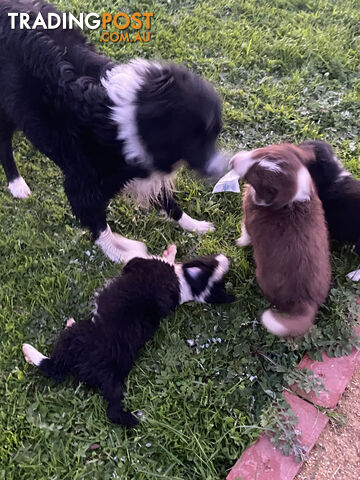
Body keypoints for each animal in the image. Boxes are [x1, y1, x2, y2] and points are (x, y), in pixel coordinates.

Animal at [0, 0, 225, 262]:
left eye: (213, 136)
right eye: (195, 139)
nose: (222, 168)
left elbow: (169, 203)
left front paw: (195, 226)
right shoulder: (81, 185)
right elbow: (101, 230)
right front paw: (123, 254)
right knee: (4, 145)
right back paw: (17, 184)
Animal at [23, 246, 235, 426]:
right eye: (211, 262)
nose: (227, 258)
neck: (186, 285)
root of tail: (108, 373)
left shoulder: (140, 263)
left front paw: (169, 251)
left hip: (72, 340)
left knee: (52, 366)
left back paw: (32, 349)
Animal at [232, 143, 330, 338]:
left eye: (257, 175)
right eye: (260, 150)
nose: (232, 161)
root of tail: (308, 303)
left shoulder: (248, 219)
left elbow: (246, 233)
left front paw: (239, 242)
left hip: (264, 278)